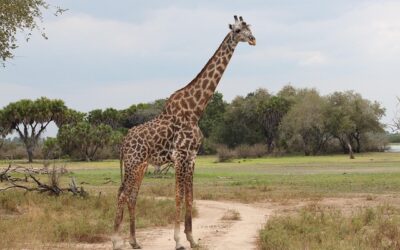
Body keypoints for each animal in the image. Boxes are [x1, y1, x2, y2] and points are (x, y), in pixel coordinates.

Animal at [112, 15, 256, 250]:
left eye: (249, 27)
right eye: (237, 30)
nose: (253, 39)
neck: (195, 110)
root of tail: (124, 142)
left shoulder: (192, 157)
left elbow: (190, 196)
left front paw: (192, 238)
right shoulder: (180, 156)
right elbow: (178, 195)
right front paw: (179, 240)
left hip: (140, 165)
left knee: (130, 195)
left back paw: (134, 241)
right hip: (134, 163)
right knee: (123, 194)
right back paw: (116, 241)